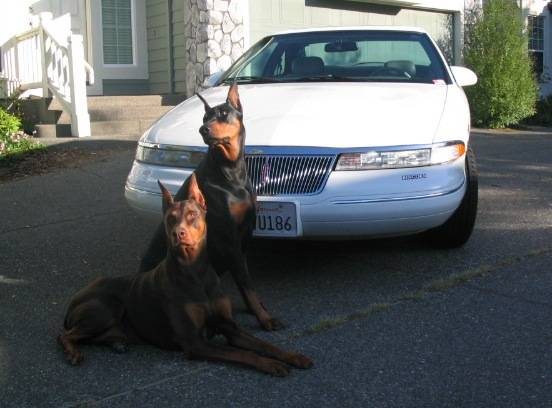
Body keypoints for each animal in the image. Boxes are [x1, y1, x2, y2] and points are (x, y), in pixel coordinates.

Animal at [58, 176, 312, 376]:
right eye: (170, 217)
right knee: (65, 335)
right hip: (107, 307)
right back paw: (74, 353)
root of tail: (73, 300)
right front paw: (270, 365)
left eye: (192, 214)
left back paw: (117, 342)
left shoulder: (229, 327)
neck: (195, 270)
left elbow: (263, 344)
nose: (177, 233)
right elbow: (243, 354)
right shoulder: (195, 343)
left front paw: (293, 356)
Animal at [138, 83, 283, 331]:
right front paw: (264, 318)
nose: (203, 130)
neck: (231, 171)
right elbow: (246, 282)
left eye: (223, 113)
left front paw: (255, 309)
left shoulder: (244, 235)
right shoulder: (230, 238)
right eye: (205, 117)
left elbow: (245, 281)